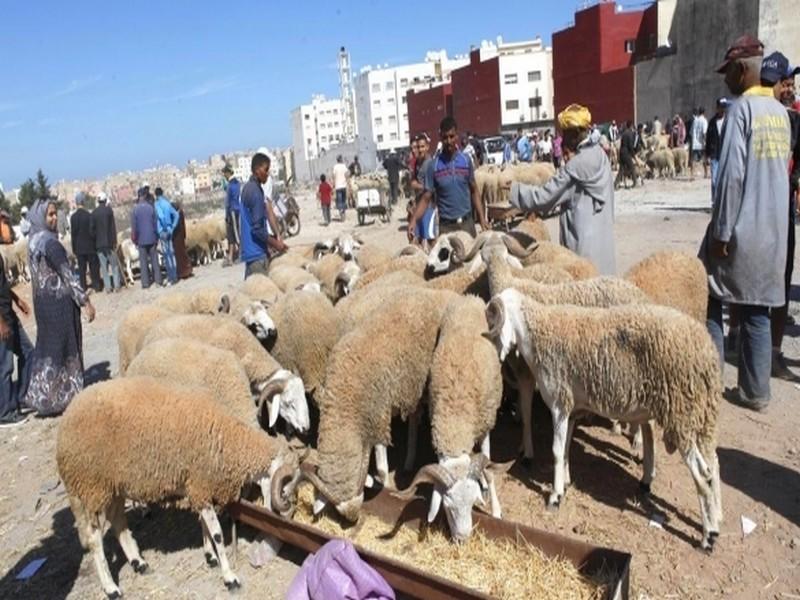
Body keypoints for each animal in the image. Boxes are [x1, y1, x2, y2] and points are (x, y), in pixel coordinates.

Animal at [56, 378, 300, 596]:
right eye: (285, 487)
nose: (284, 515)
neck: (225, 438)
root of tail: (67, 418)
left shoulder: (198, 486)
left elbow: (204, 524)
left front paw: (210, 557)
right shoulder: (200, 485)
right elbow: (217, 534)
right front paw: (229, 577)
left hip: (113, 487)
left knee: (118, 523)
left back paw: (138, 562)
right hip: (92, 487)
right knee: (94, 538)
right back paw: (111, 588)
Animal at [300, 288, 460, 520]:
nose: (354, 518)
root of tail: (425, 293)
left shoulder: (379, 414)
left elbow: (383, 469)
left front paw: (380, 482)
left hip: (417, 382)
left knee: (414, 418)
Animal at [392, 294, 506, 540]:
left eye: (473, 504)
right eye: (448, 507)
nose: (463, 538)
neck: (456, 422)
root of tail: (470, 298)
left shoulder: (485, 423)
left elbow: (489, 466)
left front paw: (496, 509)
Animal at [482, 288, 724, 552]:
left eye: (492, 320)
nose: (494, 360)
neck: (537, 334)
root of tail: (707, 350)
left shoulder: (559, 403)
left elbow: (556, 450)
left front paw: (555, 497)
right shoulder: (573, 408)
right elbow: (565, 449)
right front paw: (565, 484)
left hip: (682, 414)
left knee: (702, 474)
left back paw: (707, 537)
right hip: (702, 415)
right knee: (713, 464)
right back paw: (716, 519)